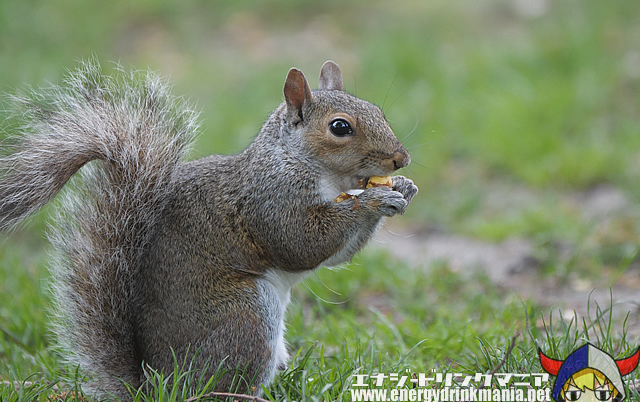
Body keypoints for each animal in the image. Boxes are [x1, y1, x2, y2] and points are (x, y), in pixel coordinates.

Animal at [0, 59, 418, 398]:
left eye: (378, 111)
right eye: (340, 127)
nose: (401, 158)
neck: (314, 170)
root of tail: (157, 385)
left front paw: (403, 188)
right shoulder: (269, 201)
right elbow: (301, 243)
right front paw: (373, 201)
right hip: (246, 319)